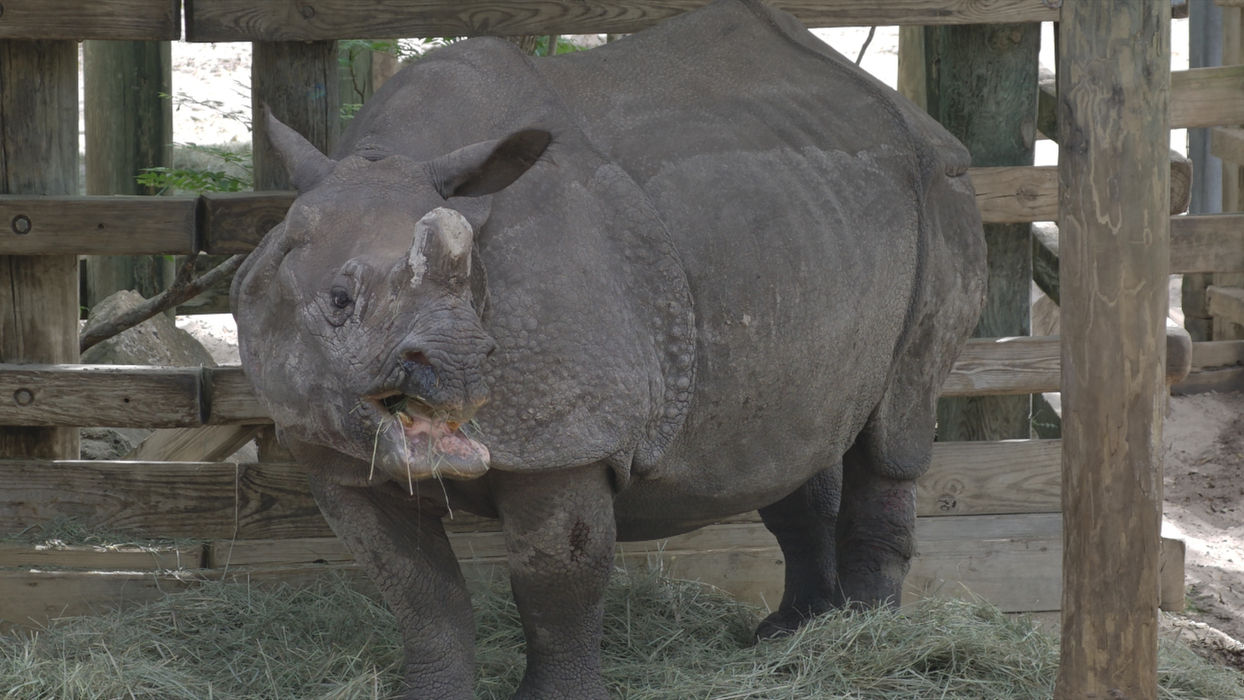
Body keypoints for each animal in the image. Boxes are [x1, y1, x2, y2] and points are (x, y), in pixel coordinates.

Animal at [231, 0, 986, 696]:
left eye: (472, 291)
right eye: (338, 300)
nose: (465, 364)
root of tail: (912, 116)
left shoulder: (572, 434)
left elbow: (557, 583)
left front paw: (556, 697)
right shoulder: (325, 448)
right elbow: (420, 593)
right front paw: (431, 693)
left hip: (942, 194)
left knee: (894, 426)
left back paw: (870, 641)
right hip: (805, 221)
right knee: (798, 437)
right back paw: (791, 638)